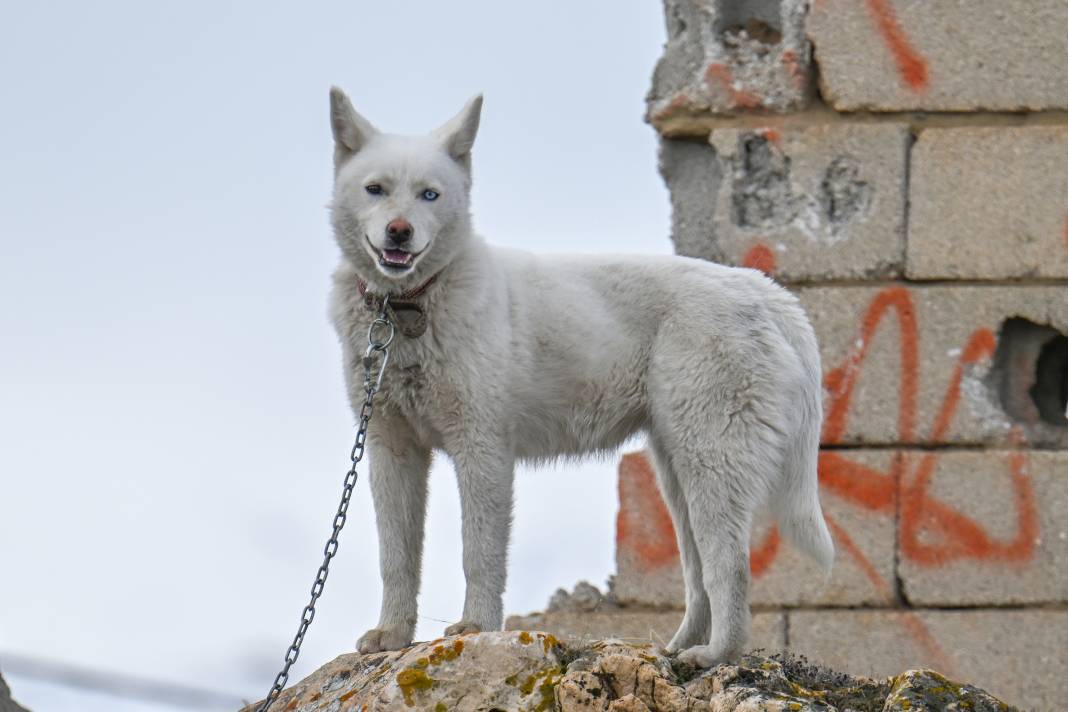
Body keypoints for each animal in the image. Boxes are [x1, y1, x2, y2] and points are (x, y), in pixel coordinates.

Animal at [324, 89, 833, 670]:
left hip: (711, 464)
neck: (409, 307)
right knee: (700, 573)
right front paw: (391, 636)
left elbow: (479, 552)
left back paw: (714, 656)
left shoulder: (482, 449)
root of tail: (765, 291)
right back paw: (676, 649)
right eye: (376, 189)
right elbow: (397, 557)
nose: (400, 232)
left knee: (731, 568)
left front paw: (475, 627)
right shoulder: (392, 450)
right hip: (677, 471)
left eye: (430, 195)